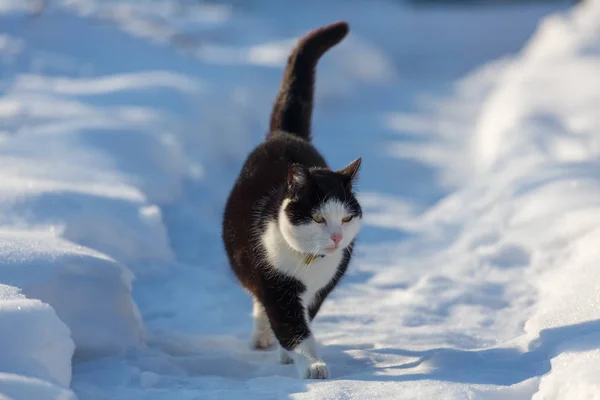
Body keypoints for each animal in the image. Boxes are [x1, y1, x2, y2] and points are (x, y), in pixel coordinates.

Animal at [220, 20, 360, 380]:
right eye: (318, 218)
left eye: (346, 218)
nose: (336, 237)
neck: (308, 262)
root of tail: (284, 134)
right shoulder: (274, 280)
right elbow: (291, 324)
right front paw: (311, 364)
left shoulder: (322, 287)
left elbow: (303, 319)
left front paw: (293, 354)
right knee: (257, 298)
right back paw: (261, 337)